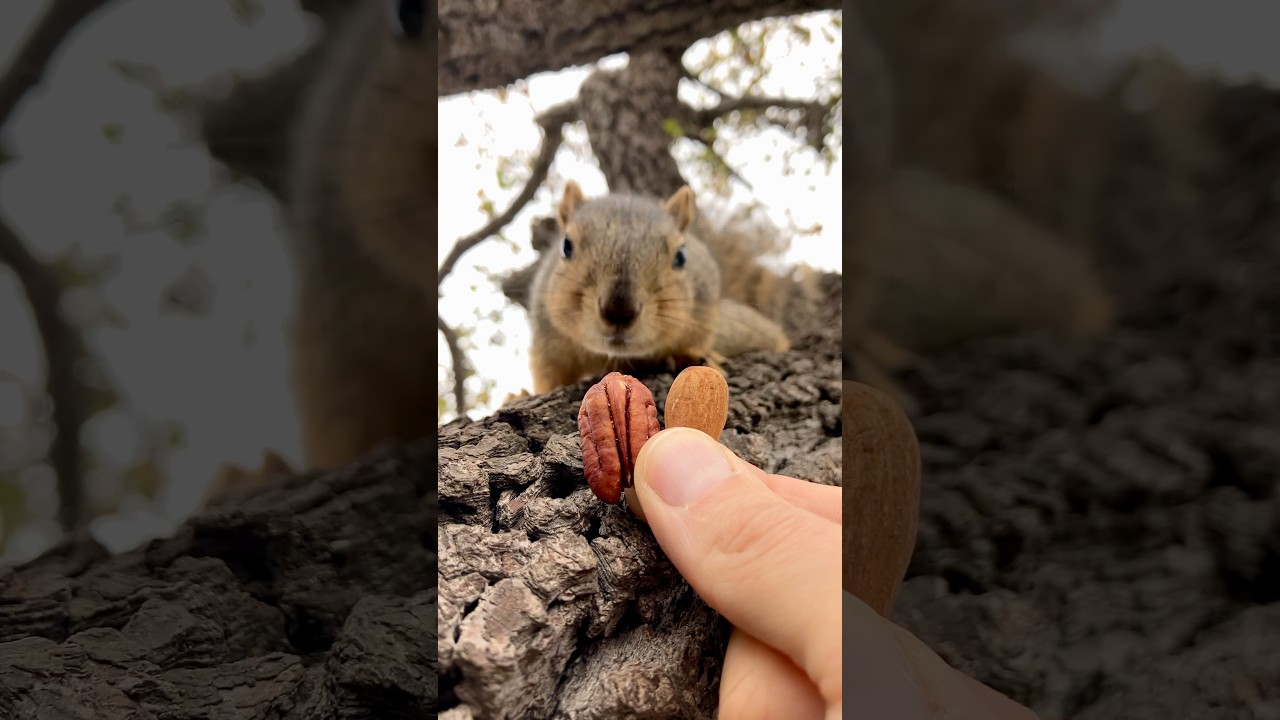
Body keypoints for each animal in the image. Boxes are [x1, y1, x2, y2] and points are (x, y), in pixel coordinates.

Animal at [526, 181, 807, 394]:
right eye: (566, 246)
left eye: (681, 256)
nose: (619, 311)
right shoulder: (548, 345)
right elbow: (548, 378)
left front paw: (695, 355)